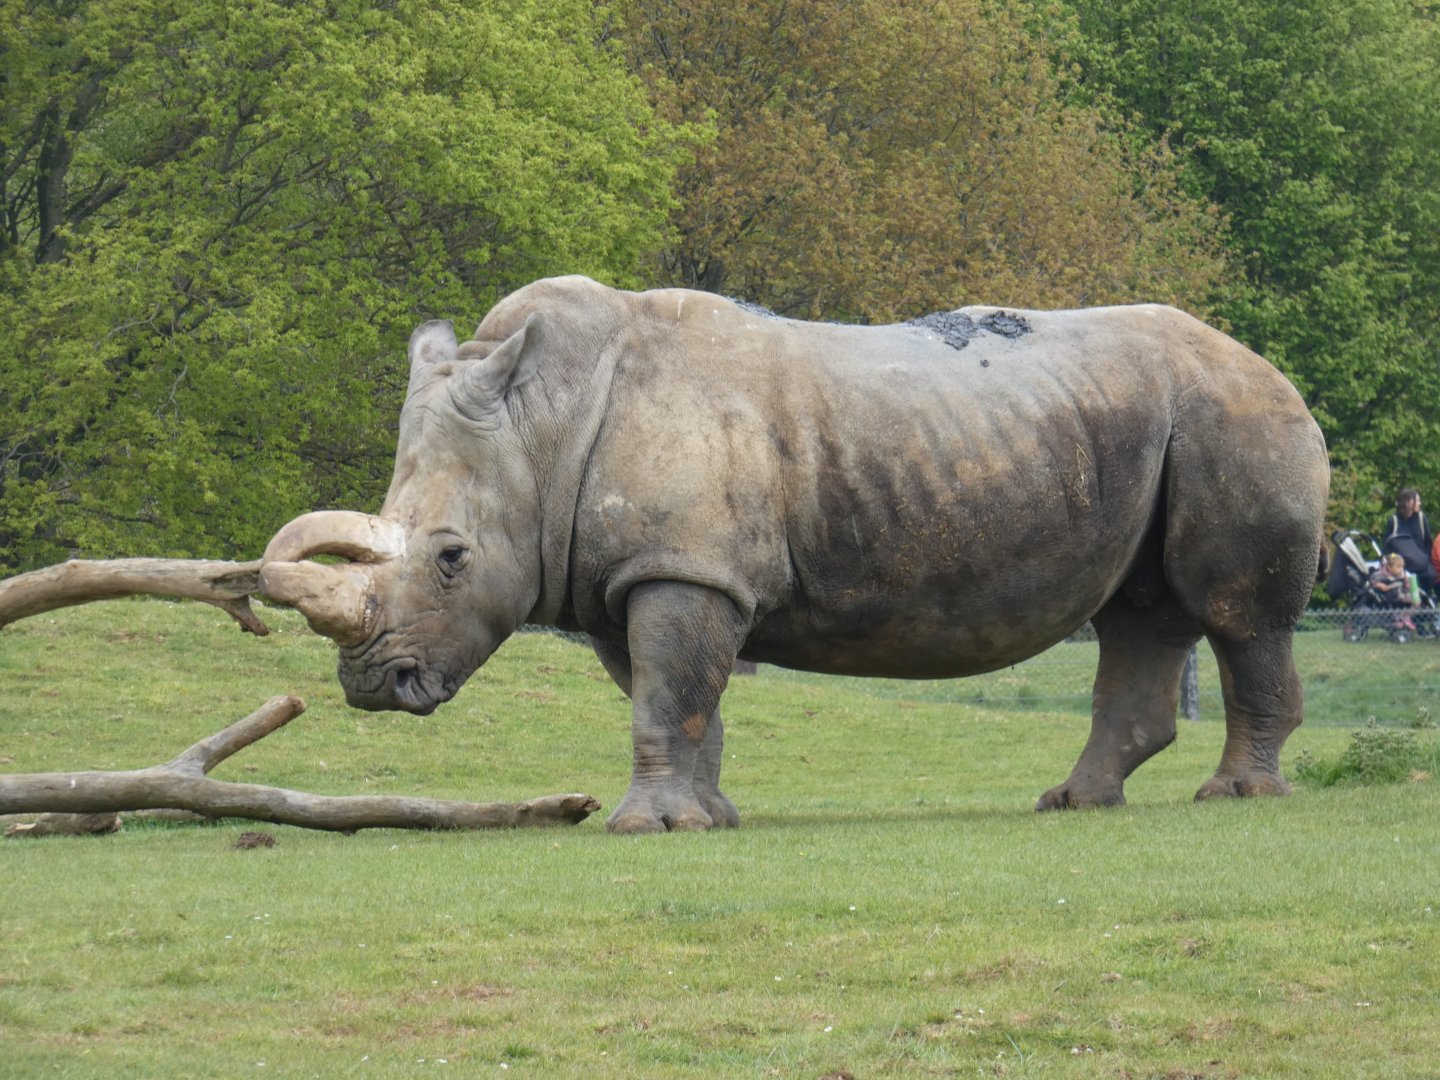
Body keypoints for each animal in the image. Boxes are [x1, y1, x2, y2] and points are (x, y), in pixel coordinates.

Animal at [260, 275, 1329, 833]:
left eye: (450, 558)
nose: (372, 684)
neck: (542, 426)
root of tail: (1277, 369)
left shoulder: (683, 567)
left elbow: (667, 695)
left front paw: (647, 828)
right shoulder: (639, 571)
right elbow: (681, 698)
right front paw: (708, 820)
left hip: (1236, 415)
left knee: (1239, 614)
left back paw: (1236, 797)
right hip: (1153, 424)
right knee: (1138, 615)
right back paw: (1074, 803)